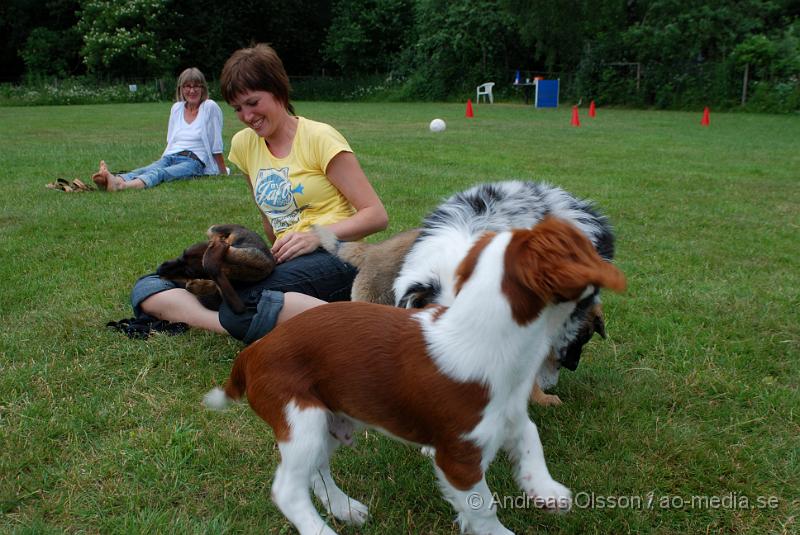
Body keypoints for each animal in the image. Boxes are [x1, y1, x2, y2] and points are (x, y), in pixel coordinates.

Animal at [205, 218, 624, 535]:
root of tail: (252, 352)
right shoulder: (458, 456)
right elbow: (482, 506)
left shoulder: (507, 414)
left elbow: (530, 438)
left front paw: (546, 490)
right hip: (299, 416)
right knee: (288, 489)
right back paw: (322, 529)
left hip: (329, 419)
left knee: (315, 471)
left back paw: (345, 508)